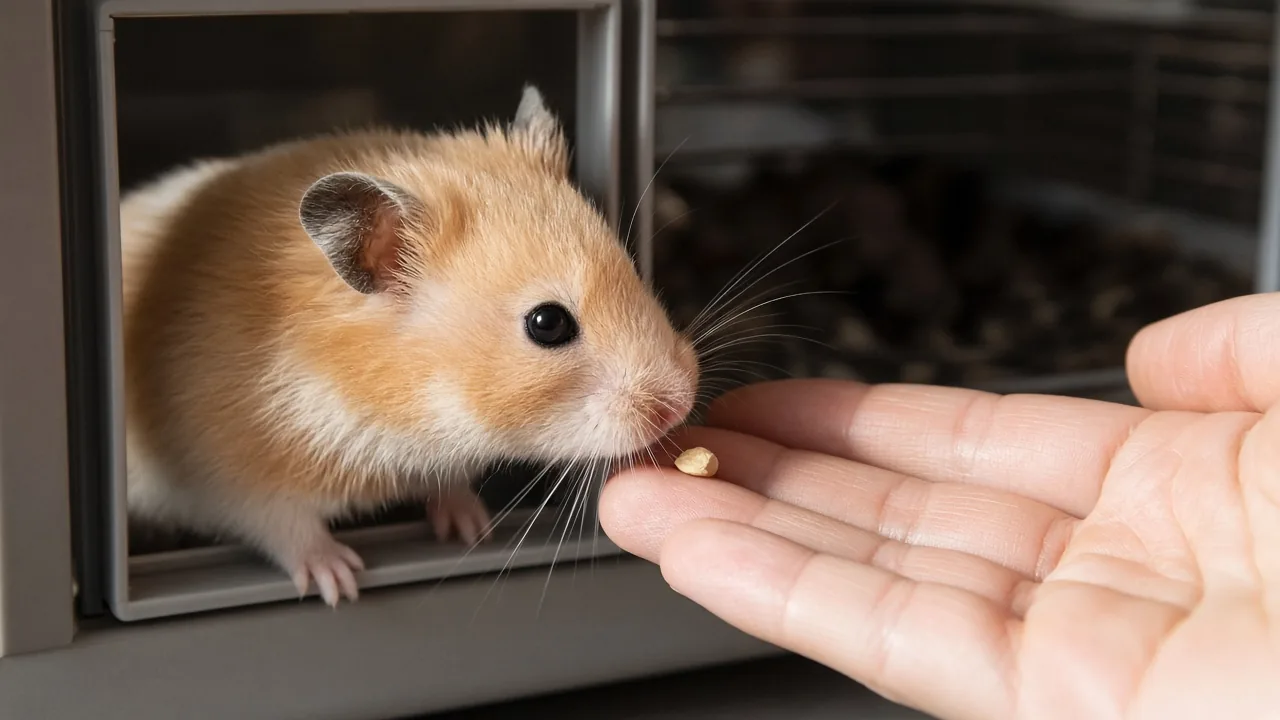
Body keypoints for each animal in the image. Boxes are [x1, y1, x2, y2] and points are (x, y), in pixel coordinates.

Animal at [120, 86, 699, 606]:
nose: (680, 403)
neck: (413, 406)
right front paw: (340, 583)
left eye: (632, 269)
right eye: (547, 324)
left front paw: (474, 528)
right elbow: (283, 524)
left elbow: (449, 486)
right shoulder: (232, 468)